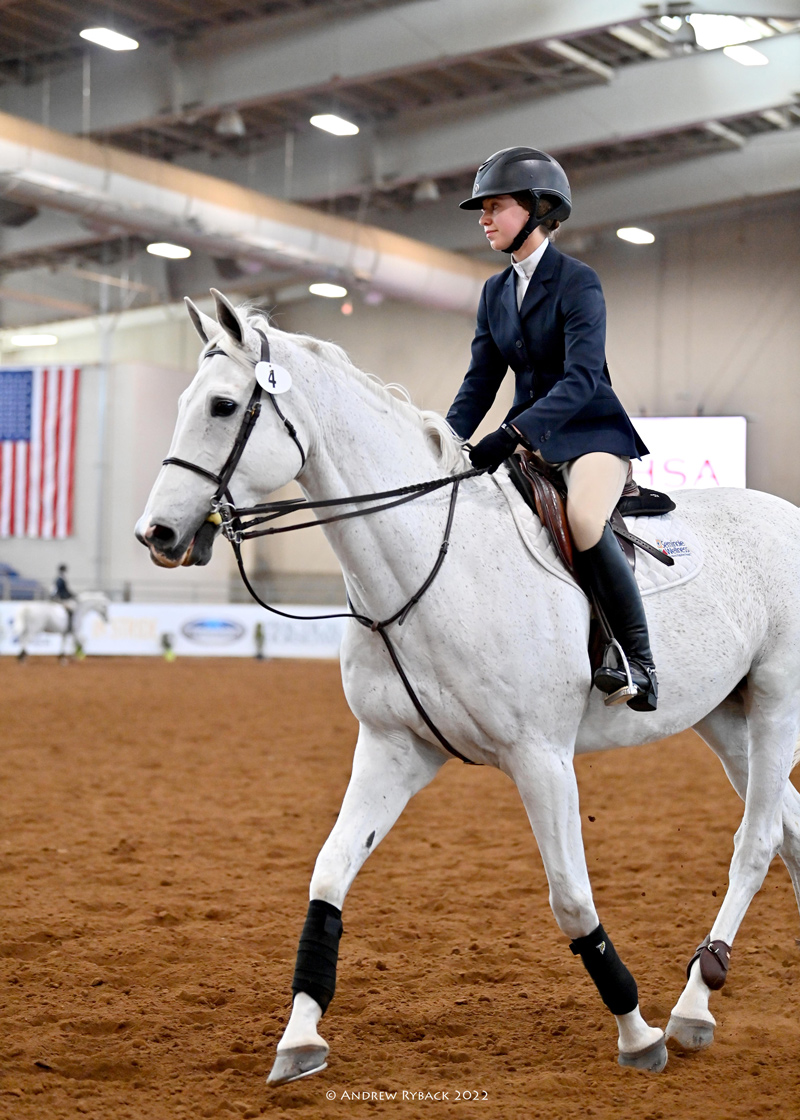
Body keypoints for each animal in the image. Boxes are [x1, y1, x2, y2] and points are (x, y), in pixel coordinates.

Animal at [135, 291, 797, 1084]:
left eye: (225, 405)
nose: (156, 534)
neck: (427, 565)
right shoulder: (393, 748)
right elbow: (330, 876)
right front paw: (299, 1038)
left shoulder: (542, 759)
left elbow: (571, 900)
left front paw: (637, 1035)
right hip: (725, 718)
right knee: (788, 827)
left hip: (777, 702)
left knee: (757, 841)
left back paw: (692, 1007)